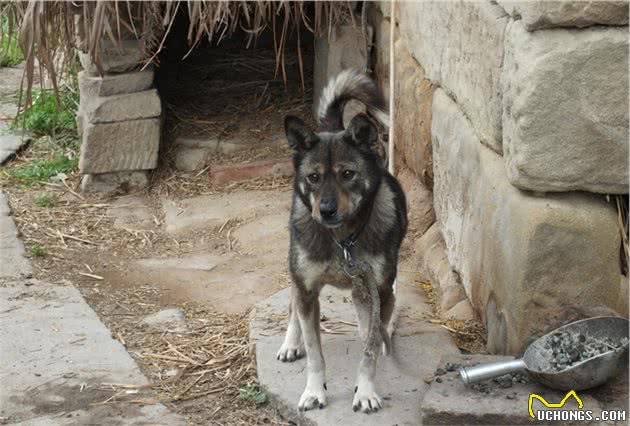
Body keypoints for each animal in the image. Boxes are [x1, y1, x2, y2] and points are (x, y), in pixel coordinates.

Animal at [278, 69, 410, 412]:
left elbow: (369, 350)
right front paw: (314, 391)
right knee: (292, 303)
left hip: (367, 292)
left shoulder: (378, 292)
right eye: (313, 177)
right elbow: (315, 353)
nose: (326, 210)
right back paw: (290, 342)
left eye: (348, 174)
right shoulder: (307, 291)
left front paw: (365, 391)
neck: (342, 242)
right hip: (297, 272)